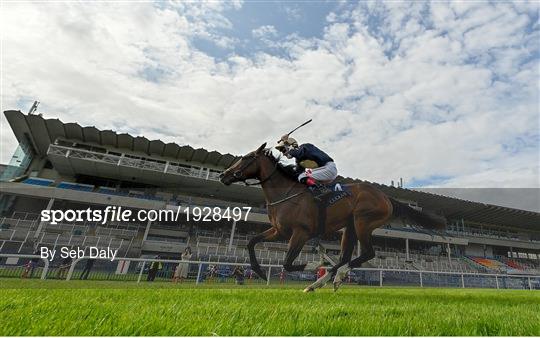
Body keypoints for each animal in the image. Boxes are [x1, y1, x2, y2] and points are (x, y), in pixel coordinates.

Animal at [217, 142, 446, 290]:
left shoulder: (301, 233)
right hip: (350, 227)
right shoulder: (279, 230)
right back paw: (325, 281)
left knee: (367, 253)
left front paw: (314, 264)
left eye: (246, 158)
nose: (222, 175)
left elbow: (288, 263)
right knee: (346, 256)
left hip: (363, 222)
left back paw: (328, 278)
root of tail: (386, 196)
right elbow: (251, 242)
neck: (287, 193)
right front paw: (260, 271)